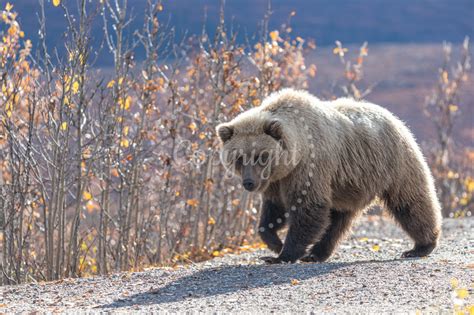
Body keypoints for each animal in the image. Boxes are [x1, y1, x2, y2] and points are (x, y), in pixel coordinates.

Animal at [217, 88, 442, 264]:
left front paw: (283, 254)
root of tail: (395, 118)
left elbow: (308, 208)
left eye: (261, 156)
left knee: (410, 202)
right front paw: (274, 243)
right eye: (239, 158)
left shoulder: (309, 168)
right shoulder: (277, 179)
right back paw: (317, 254)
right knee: (337, 221)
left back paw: (421, 246)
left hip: (394, 163)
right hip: (348, 184)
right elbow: (274, 210)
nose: (249, 182)